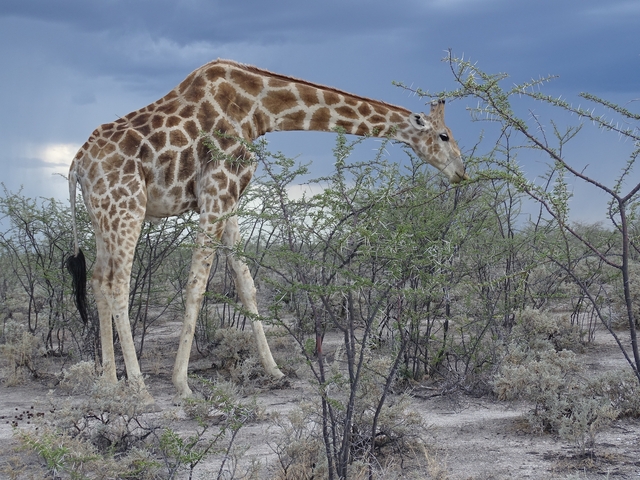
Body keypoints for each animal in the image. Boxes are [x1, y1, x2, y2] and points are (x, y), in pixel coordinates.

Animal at [66, 59, 468, 406]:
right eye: (444, 136)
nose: (461, 172)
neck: (259, 109)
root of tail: (77, 163)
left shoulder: (227, 198)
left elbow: (245, 282)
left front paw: (274, 370)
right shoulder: (218, 188)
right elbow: (197, 282)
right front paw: (182, 383)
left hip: (103, 216)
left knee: (99, 279)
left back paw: (109, 381)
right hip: (126, 209)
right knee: (118, 283)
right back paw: (138, 386)